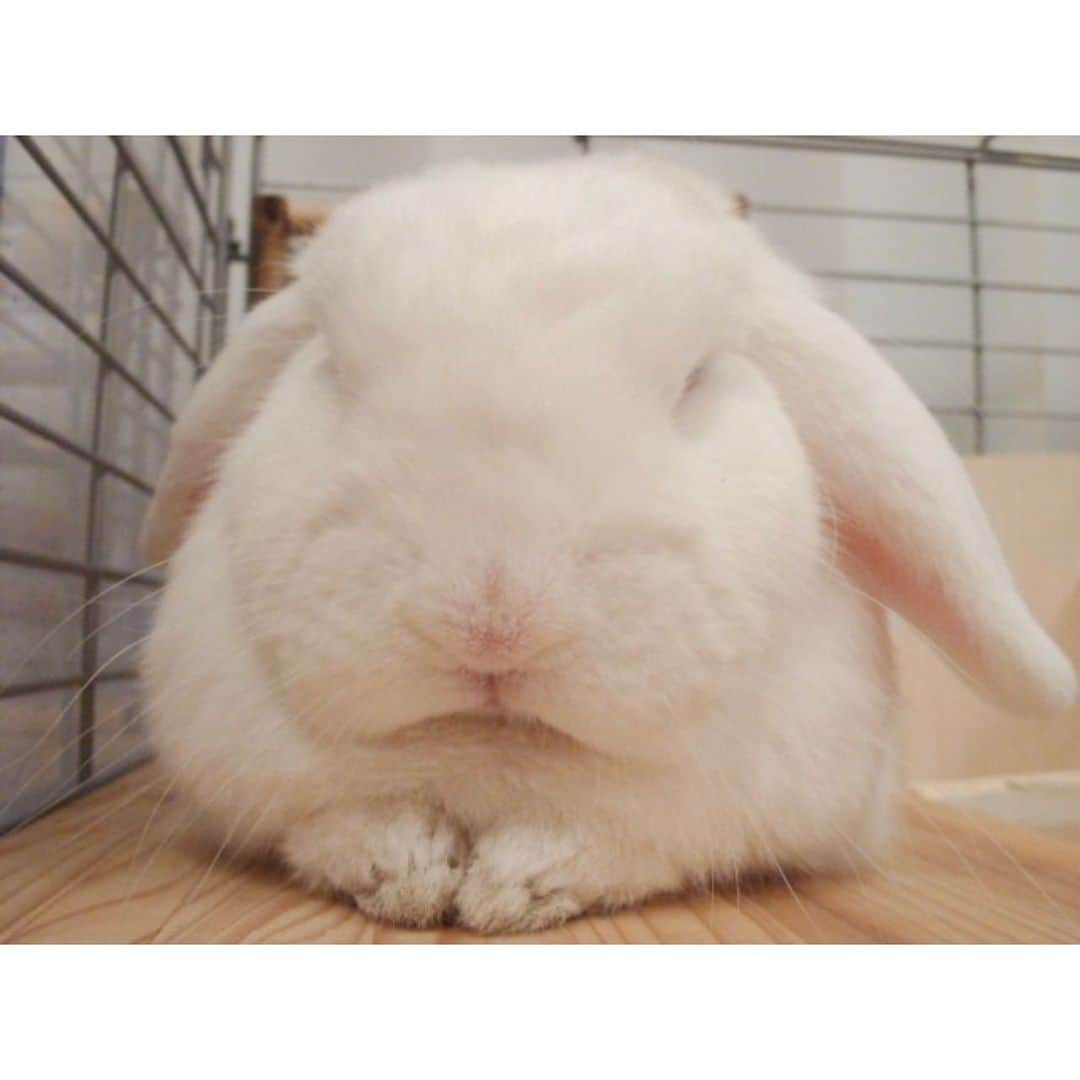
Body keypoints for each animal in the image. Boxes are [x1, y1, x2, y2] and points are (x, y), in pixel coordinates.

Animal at [138, 154, 1076, 933]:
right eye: (329, 367)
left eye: (698, 379)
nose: (492, 622)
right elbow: (333, 829)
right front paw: (404, 872)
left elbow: (627, 846)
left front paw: (515, 886)